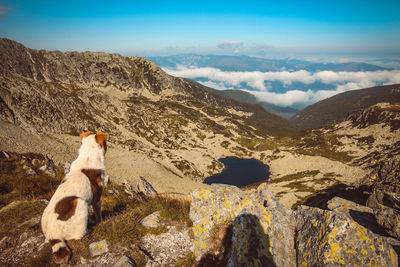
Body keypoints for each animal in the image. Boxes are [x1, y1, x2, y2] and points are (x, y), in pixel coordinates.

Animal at [40, 131, 108, 264]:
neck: (88, 156)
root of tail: (53, 235)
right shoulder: (97, 198)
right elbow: (98, 212)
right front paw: (100, 221)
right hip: (79, 202)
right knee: (77, 236)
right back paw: (88, 229)